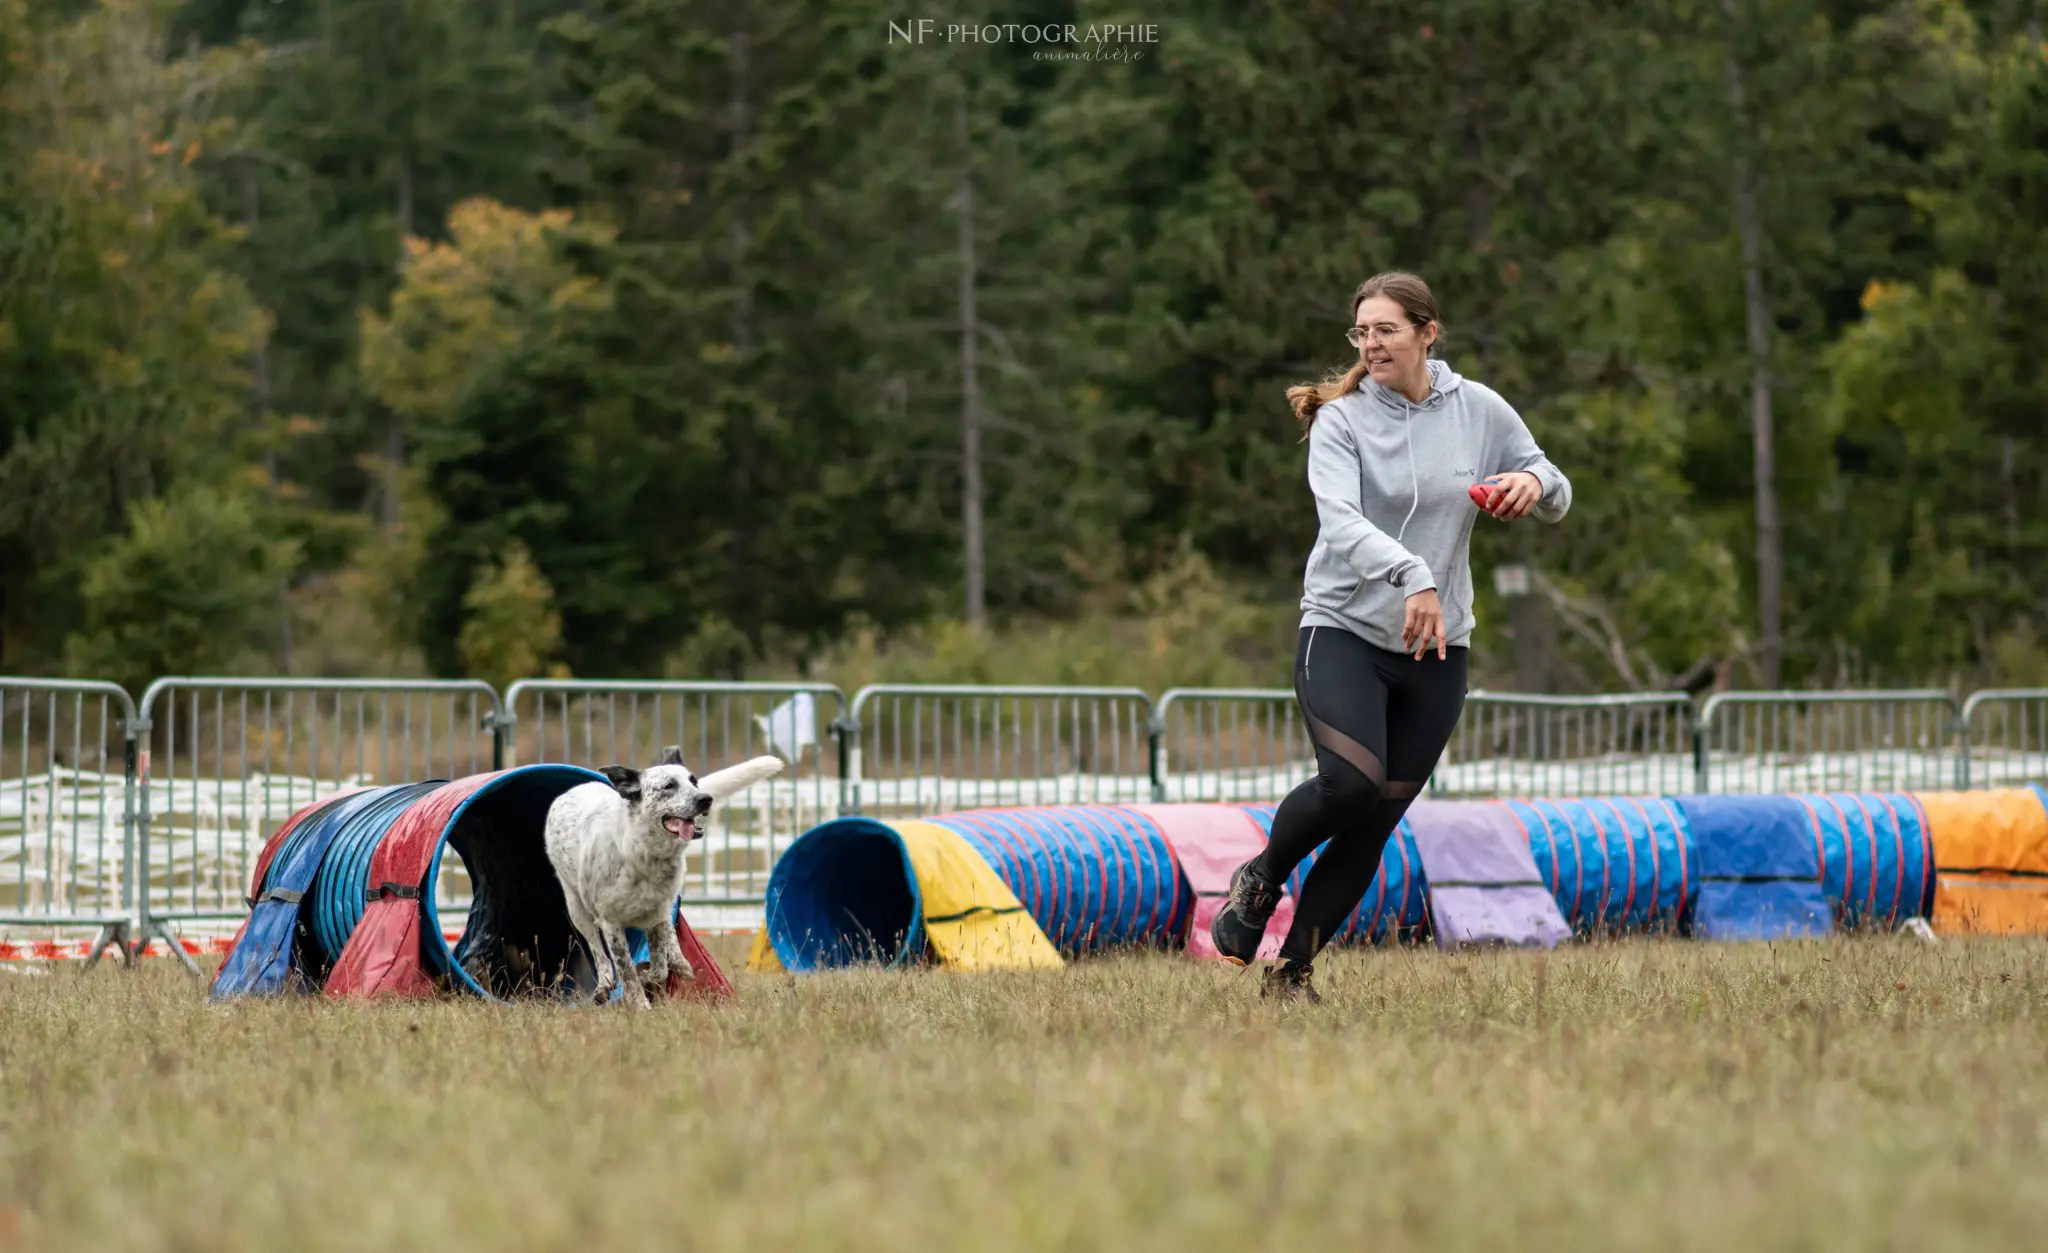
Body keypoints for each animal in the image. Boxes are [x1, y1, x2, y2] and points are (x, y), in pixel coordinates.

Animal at [544, 745, 782, 1007]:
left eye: (694, 781)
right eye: (668, 786)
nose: (705, 798)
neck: (645, 854)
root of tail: (571, 792)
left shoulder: (656, 916)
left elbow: (659, 967)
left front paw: (651, 972)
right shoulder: (610, 923)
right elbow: (626, 972)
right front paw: (641, 1005)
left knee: (671, 939)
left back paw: (681, 962)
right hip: (577, 908)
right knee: (598, 950)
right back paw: (604, 985)